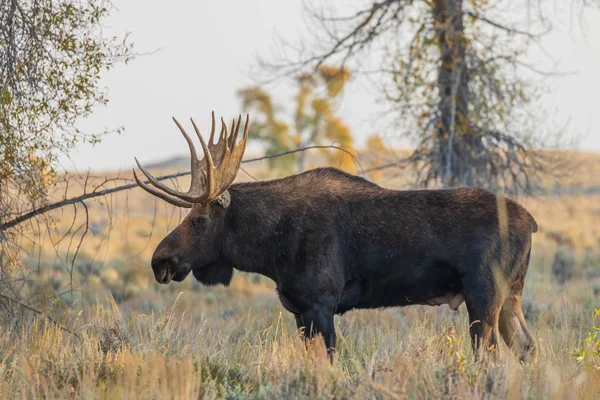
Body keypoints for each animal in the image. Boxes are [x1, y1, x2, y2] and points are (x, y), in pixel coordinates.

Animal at [135, 110, 540, 362]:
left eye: (199, 219)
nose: (160, 261)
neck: (270, 250)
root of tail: (531, 222)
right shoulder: (299, 310)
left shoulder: (322, 303)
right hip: (510, 296)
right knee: (527, 347)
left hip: (484, 294)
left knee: (489, 356)